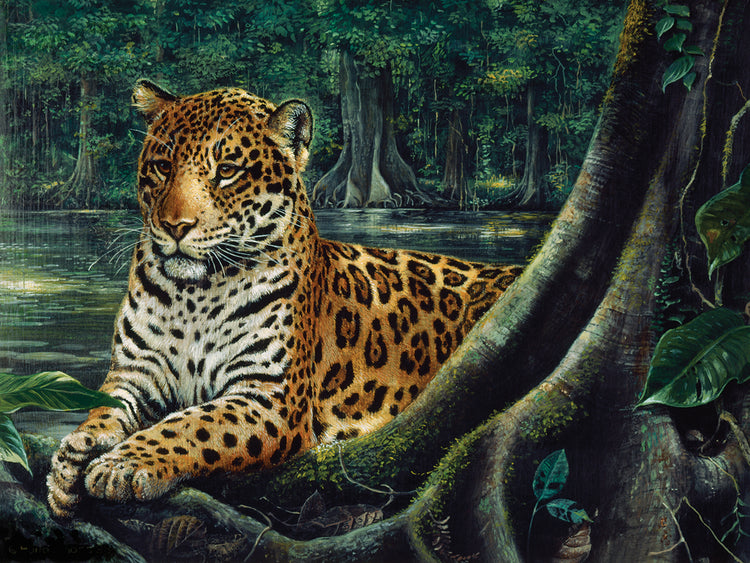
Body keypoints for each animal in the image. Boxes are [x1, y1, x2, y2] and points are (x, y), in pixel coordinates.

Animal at [47, 79, 522, 518]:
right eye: (163, 166)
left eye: (227, 170)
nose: (174, 226)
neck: (194, 296)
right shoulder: (135, 376)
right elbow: (101, 409)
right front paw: (71, 459)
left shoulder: (270, 397)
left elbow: (188, 425)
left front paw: (122, 465)